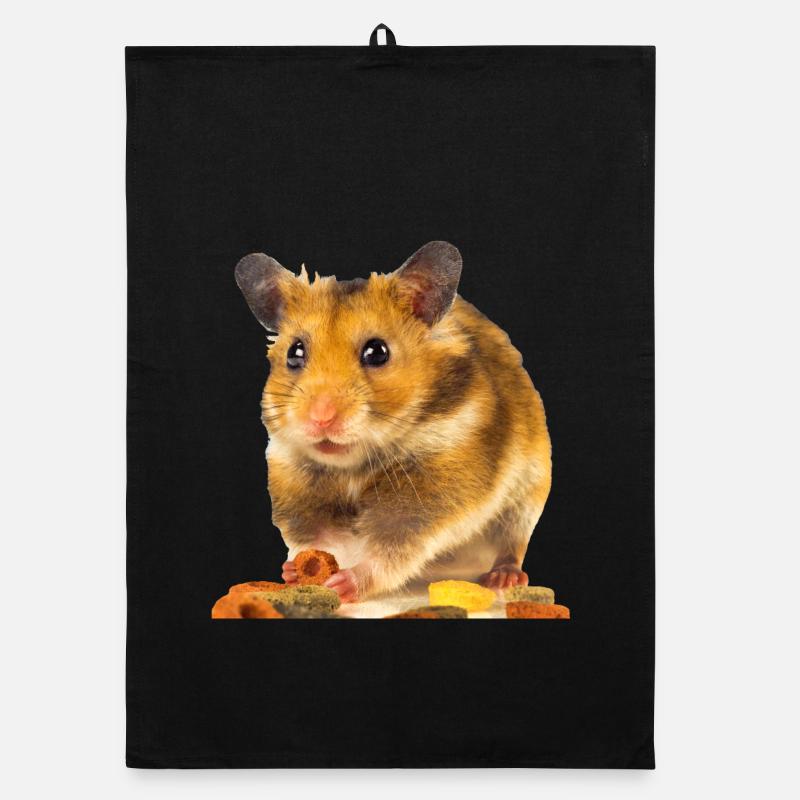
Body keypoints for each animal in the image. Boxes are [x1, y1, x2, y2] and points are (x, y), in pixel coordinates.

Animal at [235, 241, 551, 603]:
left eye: (377, 352)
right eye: (294, 352)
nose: (320, 418)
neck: (352, 466)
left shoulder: (431, 495)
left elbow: (391, 550)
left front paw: (343, 584)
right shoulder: (297, 484)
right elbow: (319, 539)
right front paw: (295, 571)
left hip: (527, 496)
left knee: (512, 543)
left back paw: (501, 578)